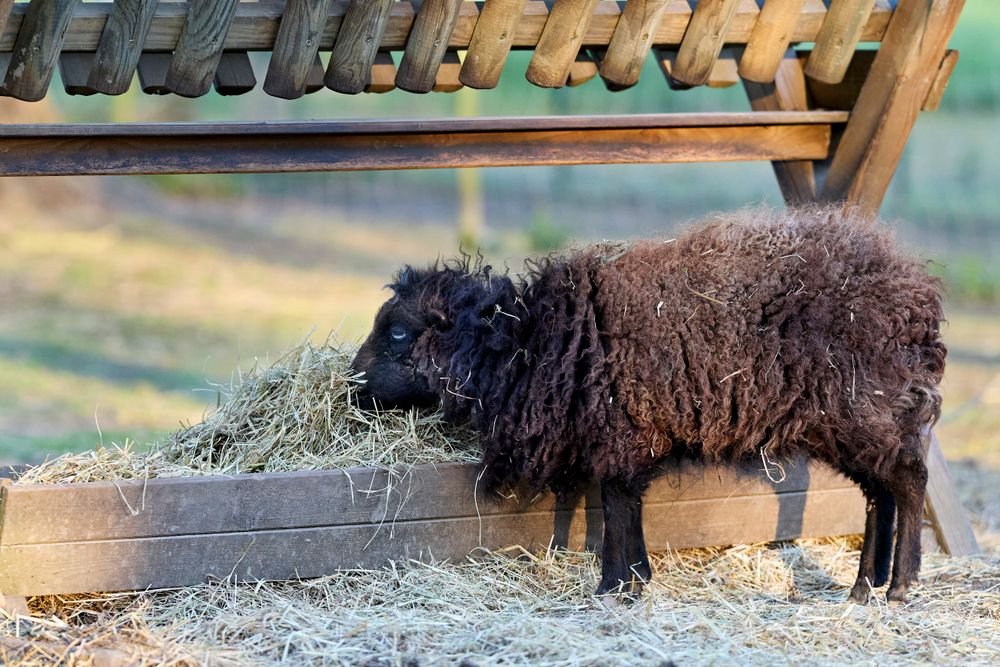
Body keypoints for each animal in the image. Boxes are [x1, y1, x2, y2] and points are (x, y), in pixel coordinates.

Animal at [351, 207, 946, 603]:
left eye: (397, 332)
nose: (351, 388)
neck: (530, 341)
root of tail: (919, 295)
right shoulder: (623, 441)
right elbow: (622, 506)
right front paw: (632, 579)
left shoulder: (623, 436)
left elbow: (617, 506)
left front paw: (616, 586)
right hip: (858, 424)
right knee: (880, 494)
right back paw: (864, 586)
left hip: (869, 411)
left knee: (909, 481)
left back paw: (901, 585)